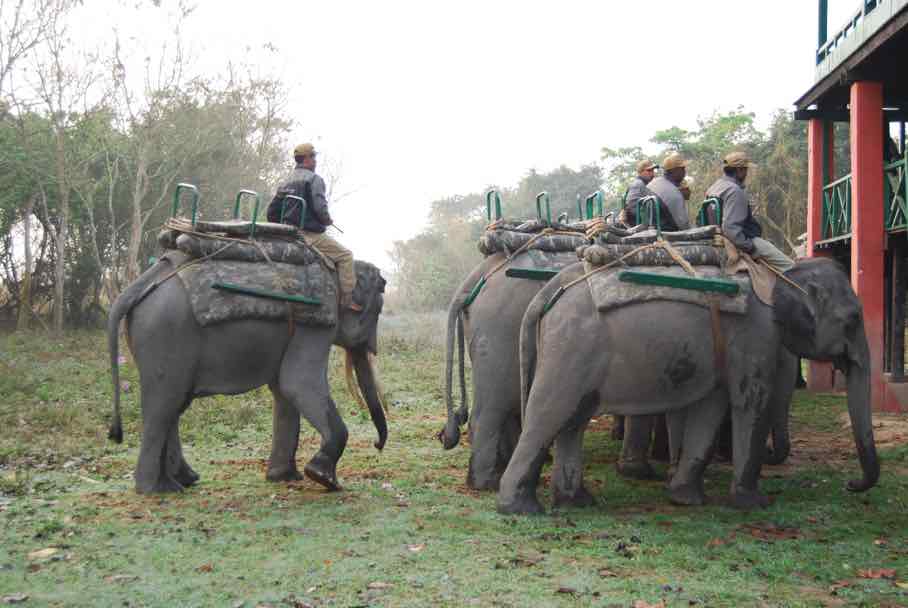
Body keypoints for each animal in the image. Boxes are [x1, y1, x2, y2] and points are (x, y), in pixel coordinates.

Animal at [107, 252, 386, 494]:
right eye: (377, 312)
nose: (377, 445)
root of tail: (141, 282)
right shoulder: (315, 322)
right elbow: (298, 384)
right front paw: (324, 479)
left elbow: (284, 391)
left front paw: (284, 478)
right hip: (165, 335)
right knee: (164, 405)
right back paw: (158, 490)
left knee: (173, 406)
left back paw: (183, 480)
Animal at [496, 258, 880, 516]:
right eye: (853, 319)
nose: (851, 484)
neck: (777, 275)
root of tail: (550, 292)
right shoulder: (755, 337)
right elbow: (749, 403)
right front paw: (754, 503)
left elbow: (710, 410)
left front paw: (686, 499)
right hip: (571, 348)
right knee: (549, 415)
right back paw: (520, 508)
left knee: (573, 419)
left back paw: (577, 502)